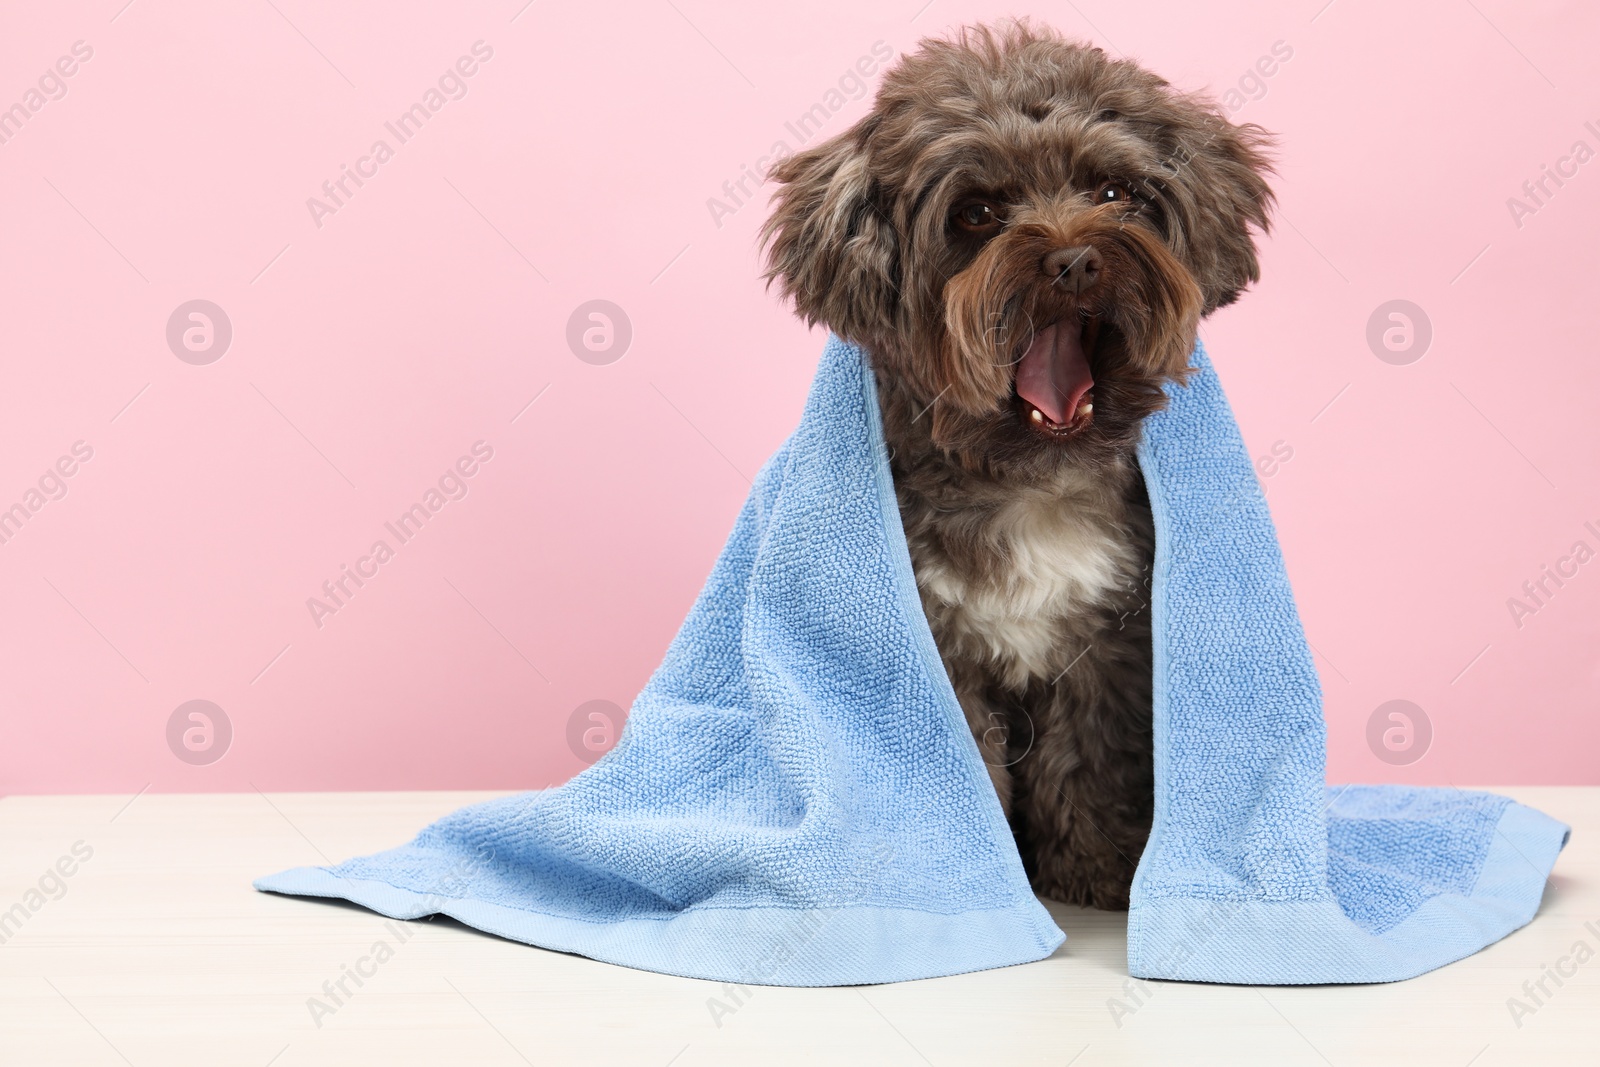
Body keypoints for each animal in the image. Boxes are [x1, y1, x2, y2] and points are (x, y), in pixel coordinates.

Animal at [761, 20, 1273, 908]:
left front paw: (1094, 868)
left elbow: (1089, 761)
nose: (1073, 260)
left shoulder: (1106, 647)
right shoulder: (935, 656)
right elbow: (962, 767)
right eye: (977, 212)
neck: (1024, 481)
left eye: (1114, 192)